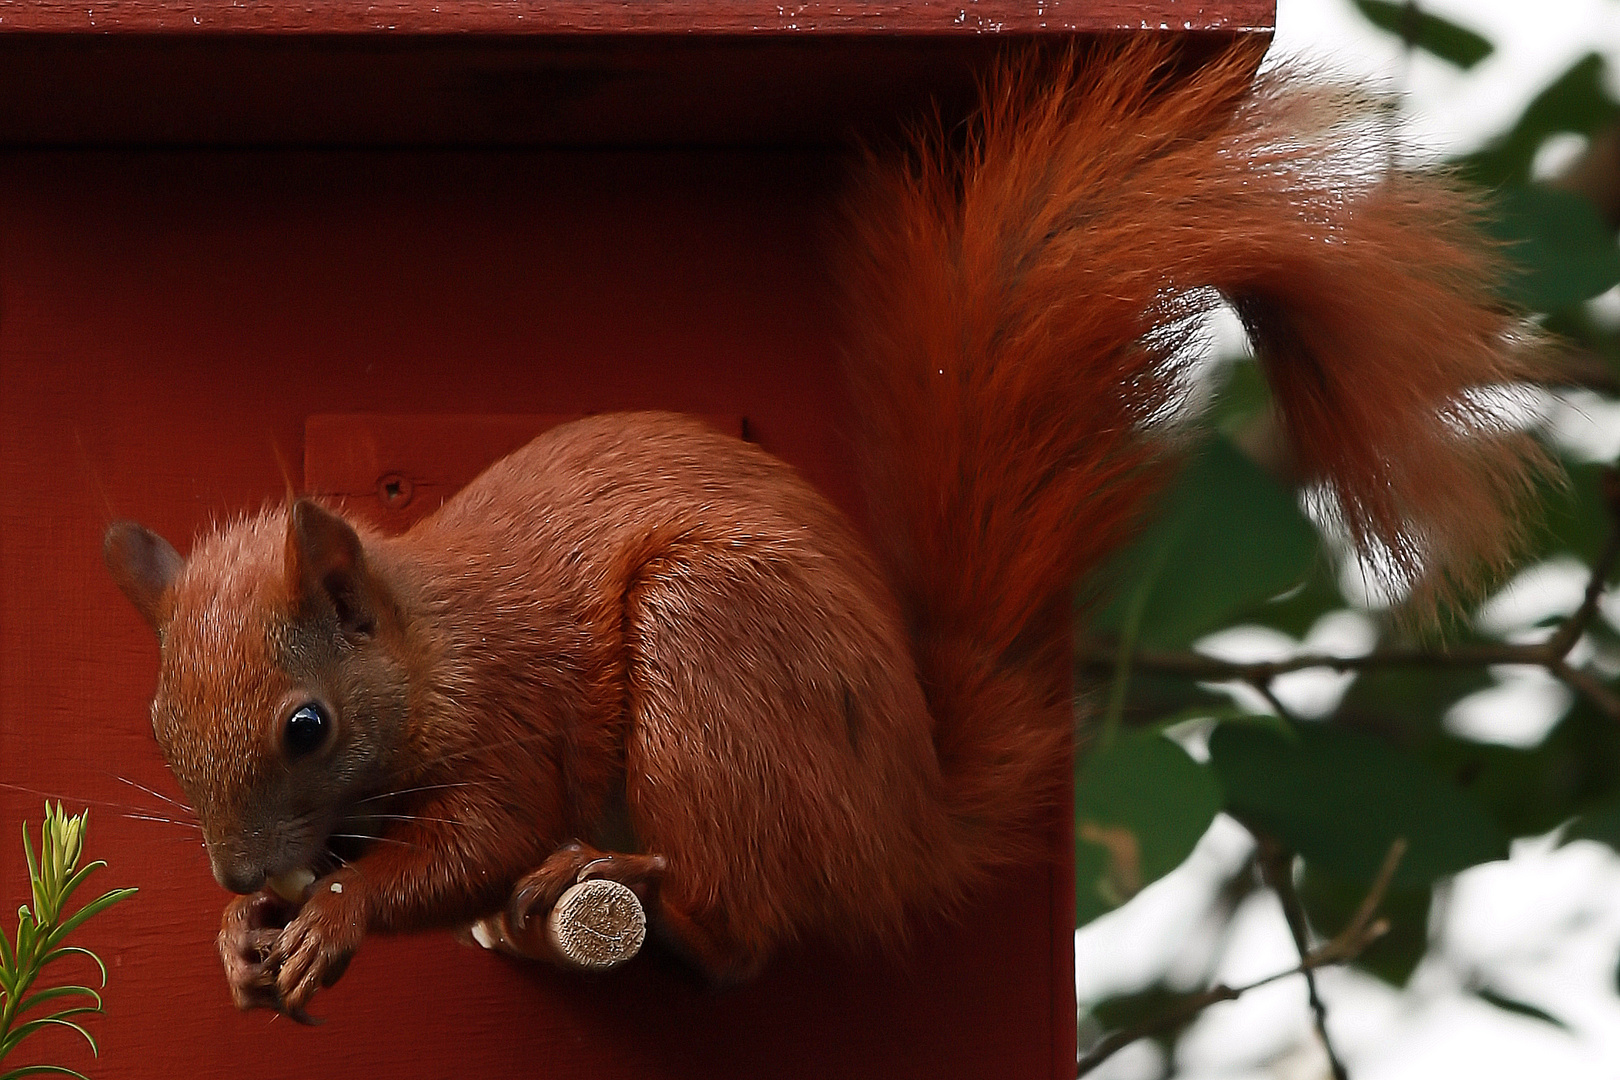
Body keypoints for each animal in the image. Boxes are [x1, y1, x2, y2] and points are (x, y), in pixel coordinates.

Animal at [101, 40, 1542, 1023]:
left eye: (308, 726)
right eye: (160, 722)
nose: (238, 871)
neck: (430, 643)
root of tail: (906, 813)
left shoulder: (512, 714)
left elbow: (481, 837)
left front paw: (336, 912)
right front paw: (246, 938)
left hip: (713, 664)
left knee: (739, 926)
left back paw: (620, 873)